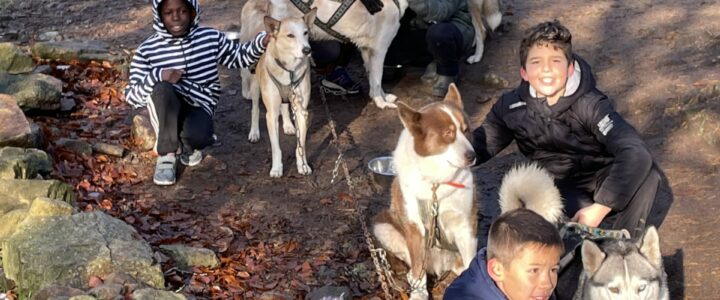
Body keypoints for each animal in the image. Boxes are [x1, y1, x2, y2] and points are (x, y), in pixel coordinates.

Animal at [372, 84, 478, 300]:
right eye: (448, 133)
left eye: (466, 131)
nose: (472, 156)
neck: (436, 184)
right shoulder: (415, 228)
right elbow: (418, 266)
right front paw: (419, 294)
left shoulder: (466, 224)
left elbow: (471, 261)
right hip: (383, 225)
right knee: (414, 267)